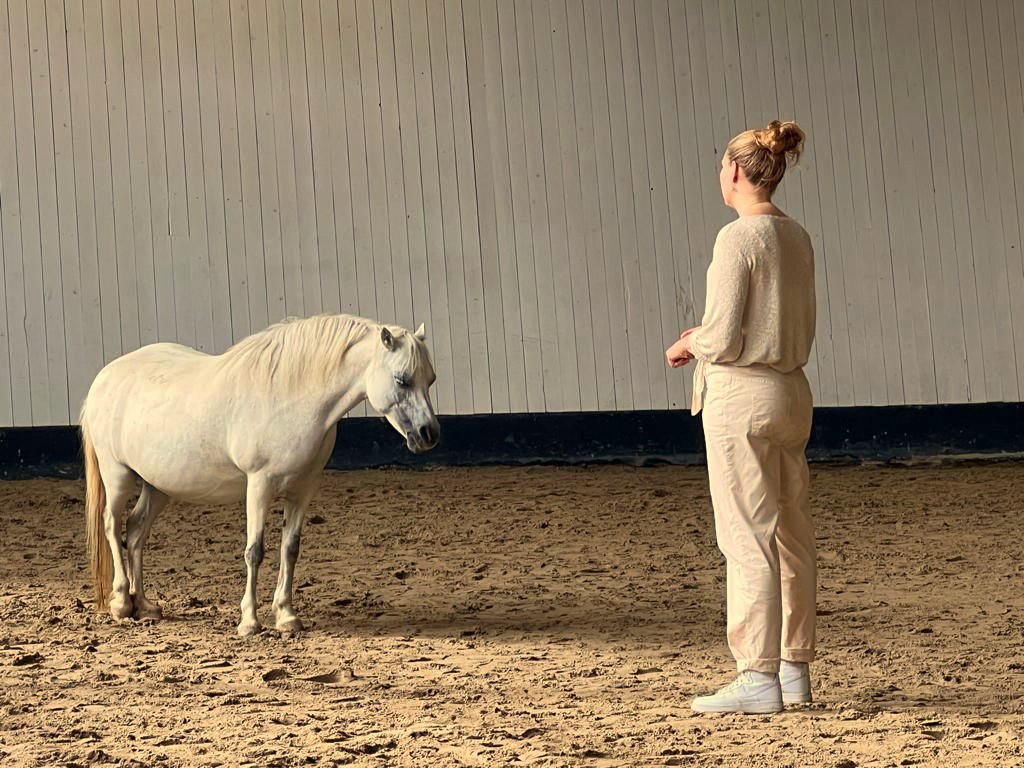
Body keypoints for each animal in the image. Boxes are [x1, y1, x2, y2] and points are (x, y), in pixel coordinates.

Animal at [81, 313, 439, 636]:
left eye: (431, 379)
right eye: (402, 379)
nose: (429, 434)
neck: (291, 397)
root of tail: (104, 377)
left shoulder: (303, 490)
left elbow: (290, 549)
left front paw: (287, 617)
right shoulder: (259, 486)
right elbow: (255, 551)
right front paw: (249, 622)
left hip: (159, 486)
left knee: (136, 530)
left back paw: (144, 605)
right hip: (117, 476)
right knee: (112, 525)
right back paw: (121, 604)